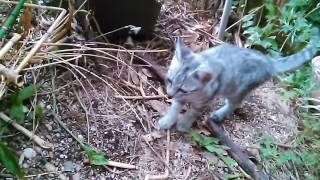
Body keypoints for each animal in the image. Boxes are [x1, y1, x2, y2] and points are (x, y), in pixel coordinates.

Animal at [158, 28, 320, 132]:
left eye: (183, 88)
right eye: (170, 81)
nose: (169, 94)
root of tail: (268, 61)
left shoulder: (204, 101)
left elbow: (192, 113)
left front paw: (184, 124)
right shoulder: (179, 98)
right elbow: (174, 109)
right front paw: (167, 121)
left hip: (237, 90)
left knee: (235, 104)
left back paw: (219, 114)